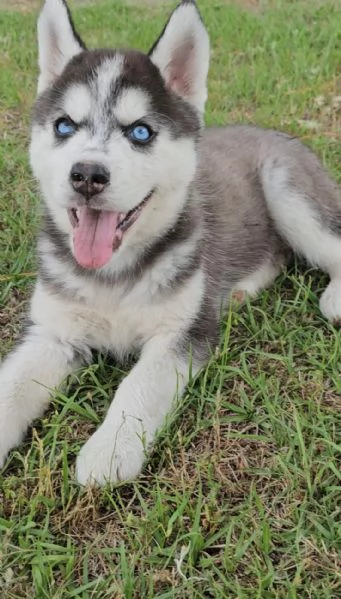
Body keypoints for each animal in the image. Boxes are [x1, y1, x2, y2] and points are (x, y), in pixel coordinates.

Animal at [0, 0, 340, 486]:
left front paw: (109, 449)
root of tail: (276, 132)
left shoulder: (181, 333)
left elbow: (138, 384)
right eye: (64, 126)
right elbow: (10, 388)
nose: (87, 175)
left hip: (287, 189)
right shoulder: (52, 333)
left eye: (140, 132)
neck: (113, 273)